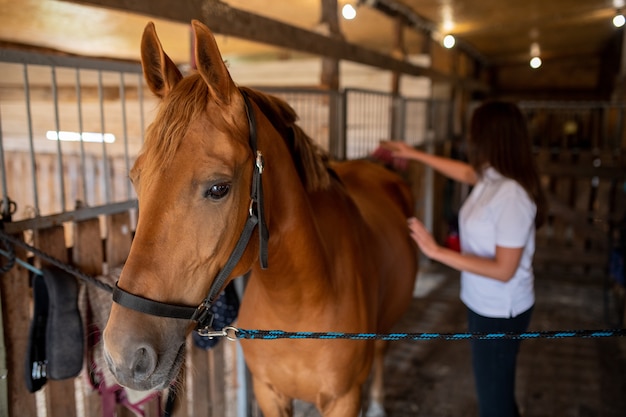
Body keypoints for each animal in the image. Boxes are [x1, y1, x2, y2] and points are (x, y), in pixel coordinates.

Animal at [101, 21, 414, 416]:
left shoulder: (343, 399)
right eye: (135, 178)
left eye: (219, 188)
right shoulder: (269, 393)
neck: (297, 304)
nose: (123, 357)